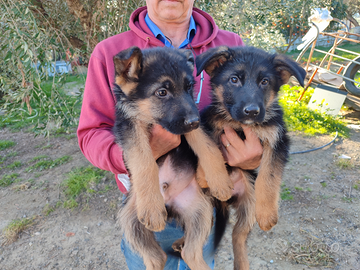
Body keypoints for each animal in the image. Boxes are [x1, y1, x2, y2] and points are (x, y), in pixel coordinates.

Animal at [195, 46, 306, 270]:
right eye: (234, 79)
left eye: (265, 82)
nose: (252, 111)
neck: (239, 124)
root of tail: (229, 201)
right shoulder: (209, 123)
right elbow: (209, 149)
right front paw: (207, 177)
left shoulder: (278, 140)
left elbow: (269, 176)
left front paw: (267, 213)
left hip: (249, 202)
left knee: (238, 235)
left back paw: (242, 263)